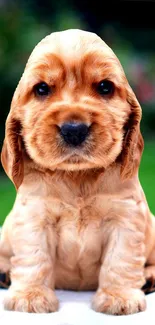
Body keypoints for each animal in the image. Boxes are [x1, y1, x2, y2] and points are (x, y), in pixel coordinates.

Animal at [0, 29, 155, 312]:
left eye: (105, 87)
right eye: (42, 89)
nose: (74, 129)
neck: (77, 176)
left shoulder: (125, 217)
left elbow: (120, 259)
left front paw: (119, 297)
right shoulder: (34, 217)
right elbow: (34, 258)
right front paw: (30, 296)